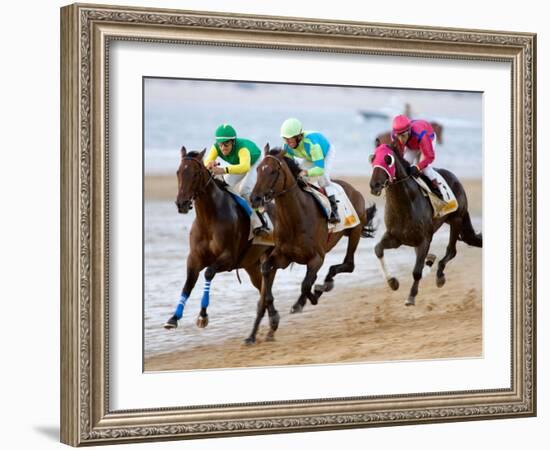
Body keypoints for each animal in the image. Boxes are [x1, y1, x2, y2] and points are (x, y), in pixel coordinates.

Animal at [165, 148, 274, 330]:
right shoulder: (194, 258)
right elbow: (188, 283)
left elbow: (208, 272)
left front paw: (203, 315)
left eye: (195, 174)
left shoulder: (229, 258)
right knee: (262, 287)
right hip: (252, 265)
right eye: (178, 172)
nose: (182, 203)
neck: (209, 219)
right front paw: (174, 318)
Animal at [248, 144, 378, 344]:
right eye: (258, 169)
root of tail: (353, 189)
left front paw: (308, 299)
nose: (255, 198)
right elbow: (267, 270)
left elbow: (305, 285)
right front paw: (276, 314)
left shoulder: (317, 258)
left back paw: (323, 286)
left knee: (348, 264)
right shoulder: (283, 257)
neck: (296, 218)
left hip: (355, 231)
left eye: (273, 171)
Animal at [370, 141, 484, 306]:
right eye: (372, 158)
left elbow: (416, 271)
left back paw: (439, 275)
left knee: (451, 251)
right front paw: (392, 282)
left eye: (388, 159)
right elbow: (378, 249)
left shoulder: (424, 239)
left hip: (456, 219)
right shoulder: (395, 237)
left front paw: (411, 296)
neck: (404, 204)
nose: (375, 185)